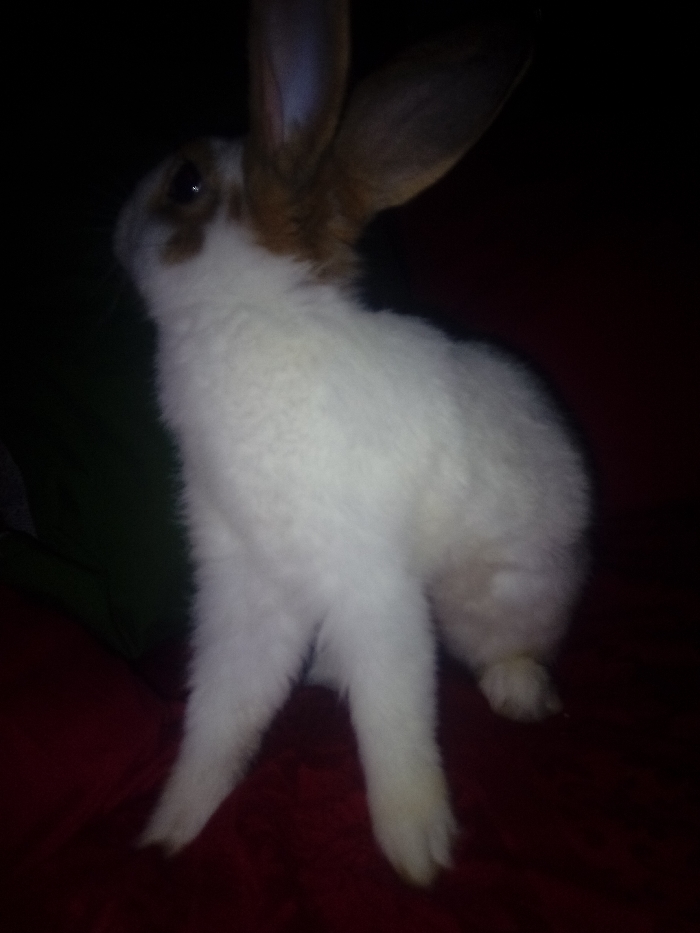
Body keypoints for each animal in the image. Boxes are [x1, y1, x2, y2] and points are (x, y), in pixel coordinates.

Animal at [115, 0, 590, 886]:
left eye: (186, 182)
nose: (119, 230)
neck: (248, 316)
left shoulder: (373, 583)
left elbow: (394, 722)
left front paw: (418, 850)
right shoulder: (246, 582)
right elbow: (223, 710)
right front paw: (169, 830)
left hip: (498, 597)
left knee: (512, 647)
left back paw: (522, 693)